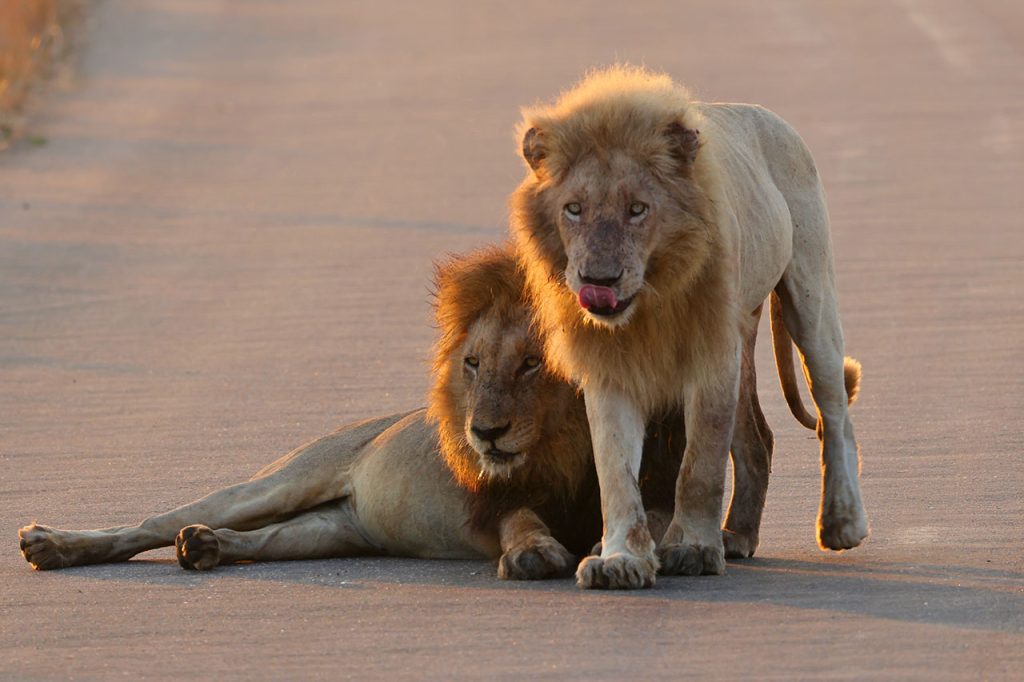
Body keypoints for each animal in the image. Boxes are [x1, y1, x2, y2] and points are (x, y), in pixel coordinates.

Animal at [18, 247, 689, 579]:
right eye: (472, 365)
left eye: (532, 365)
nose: (484, 433)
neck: (566, 446)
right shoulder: (494, 500)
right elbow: (520, 520)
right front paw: (533, 554)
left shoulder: (652, 489)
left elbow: (652, 520)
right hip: (283, 480)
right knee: (156, 521)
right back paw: (51, 545)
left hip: (329, 529)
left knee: (263, 540)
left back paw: (204, 548)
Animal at [510, 65, 868, 589]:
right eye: (574, 209)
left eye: (637, 209)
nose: (599, 280)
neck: (650, 298)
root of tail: (769, 116)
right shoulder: (609, 364)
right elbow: (615, 470)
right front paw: (621, 558)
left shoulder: (712, 351)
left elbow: (701, 463)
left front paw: (692, 548)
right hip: (745, 332)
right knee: (759, 439)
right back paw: (737, 536)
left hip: (810, 296)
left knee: (834, 409)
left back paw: (843, 523)